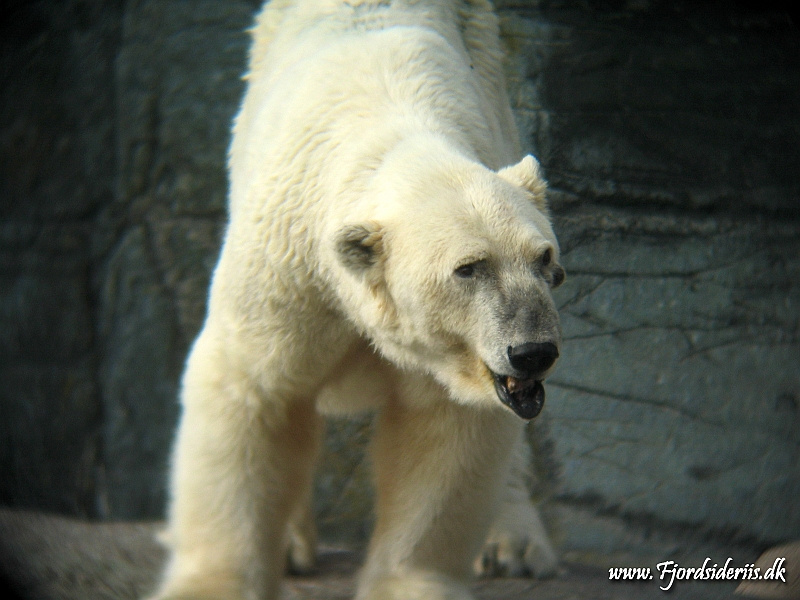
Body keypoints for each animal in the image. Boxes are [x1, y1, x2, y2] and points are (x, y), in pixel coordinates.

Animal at [150, 1, 564, 600]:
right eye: (469, 268)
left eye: (545, 259)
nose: (532, 351)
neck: (391, 126)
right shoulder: (290, 271)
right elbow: (252, 388)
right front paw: (212, 584)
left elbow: (446, 429)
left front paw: (412, 583)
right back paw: (292, 544)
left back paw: (515, 542)